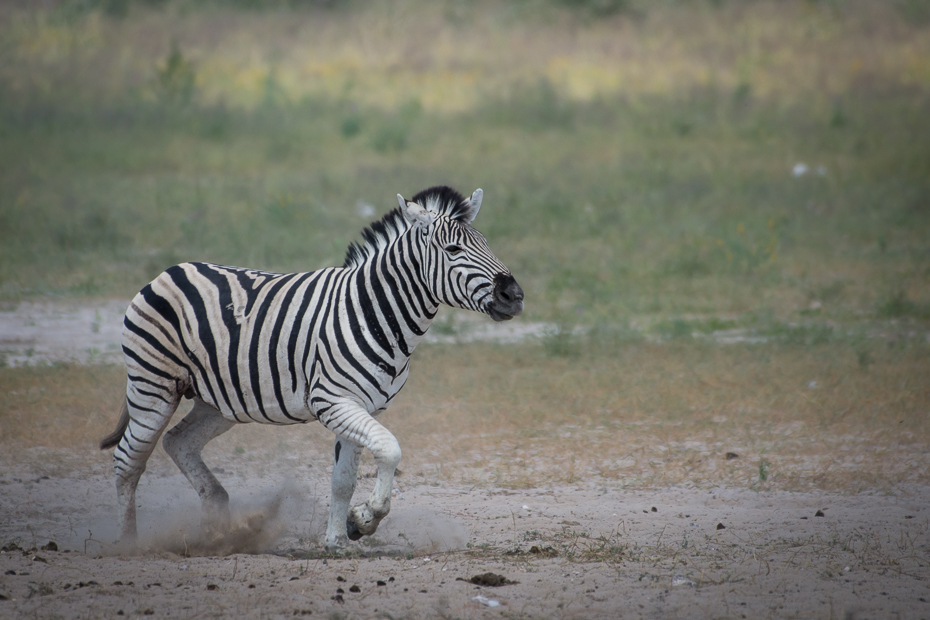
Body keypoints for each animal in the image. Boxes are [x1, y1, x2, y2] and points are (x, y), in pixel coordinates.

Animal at [99, 185, 520, 552]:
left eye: (487, 244)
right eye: (453, 249)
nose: (514, 295)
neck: (374, 312)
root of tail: (169, 271)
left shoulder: (362, 406)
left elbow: (342, 480)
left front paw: (338, 539)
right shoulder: (333, 400)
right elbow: (390, 450)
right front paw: (365, 518)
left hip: (218, 402)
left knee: (177, 442)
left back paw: (217, 523)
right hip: (153, 385)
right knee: (128, 460)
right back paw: (129, 543)